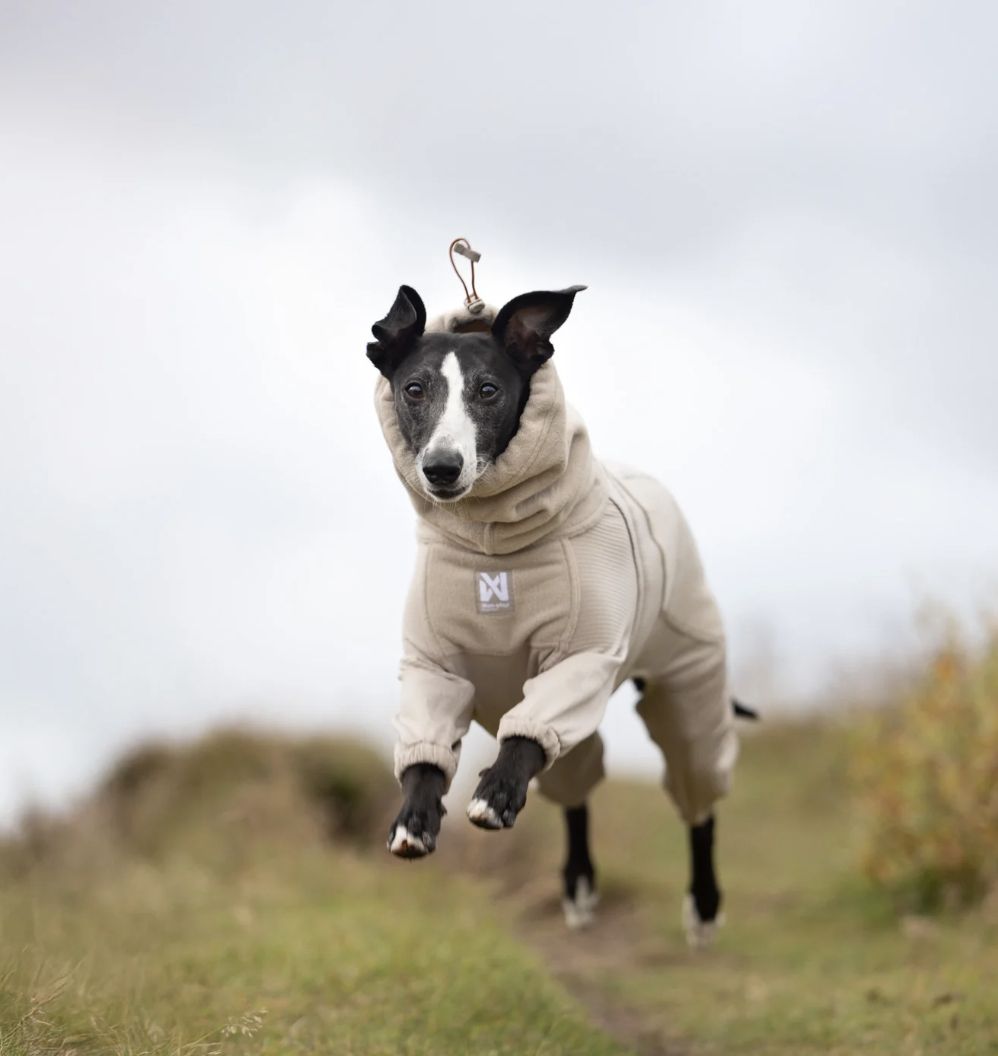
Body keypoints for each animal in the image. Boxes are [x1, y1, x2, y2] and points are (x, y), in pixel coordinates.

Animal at [367, 283, 743, 941]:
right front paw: (413, 818)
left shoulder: (581, 660)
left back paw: (703, 905)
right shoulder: (432, 668)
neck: (492, 552)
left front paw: (493, 793)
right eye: (414, 388)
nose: (442, 467)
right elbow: (425, 752)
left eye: (488, 389)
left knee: (697, 787)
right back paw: (579, 882)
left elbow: (525, 738)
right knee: (576, 788)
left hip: (688, 679)